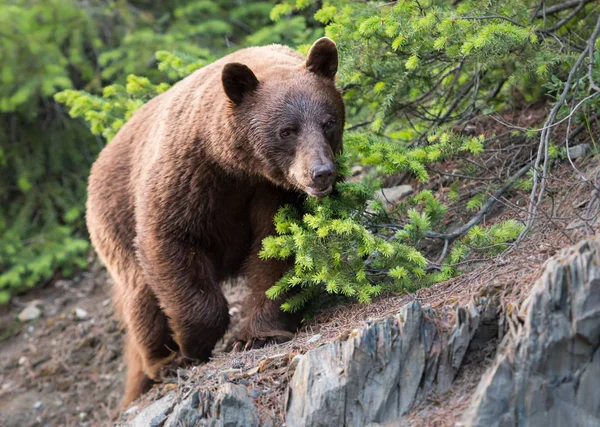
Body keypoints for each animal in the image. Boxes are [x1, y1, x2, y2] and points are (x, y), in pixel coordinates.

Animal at [86, 37, 344, 408]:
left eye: (328, 122)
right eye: (287, 130)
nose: (320, 173)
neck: (237, 166)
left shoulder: (272, 193)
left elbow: (276, 252)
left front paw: (258, 334)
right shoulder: (187, 177)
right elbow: (169, 241)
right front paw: (193, 343)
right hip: (114, 216)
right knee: (140, 294)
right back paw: (162, 362)